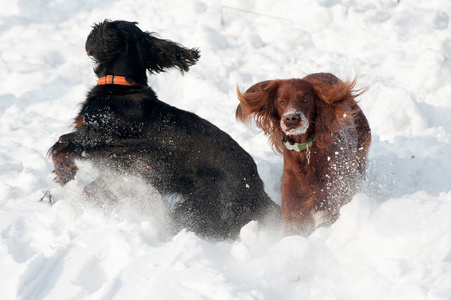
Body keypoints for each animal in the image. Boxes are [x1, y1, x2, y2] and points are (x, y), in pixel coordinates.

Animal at [48, 19, 278, 240]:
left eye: (106, 24)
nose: (92, 31)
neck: (122, 87)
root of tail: (258, 189)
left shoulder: (105, 136)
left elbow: (63, 142)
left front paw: (65, 172)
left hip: (201, 204)